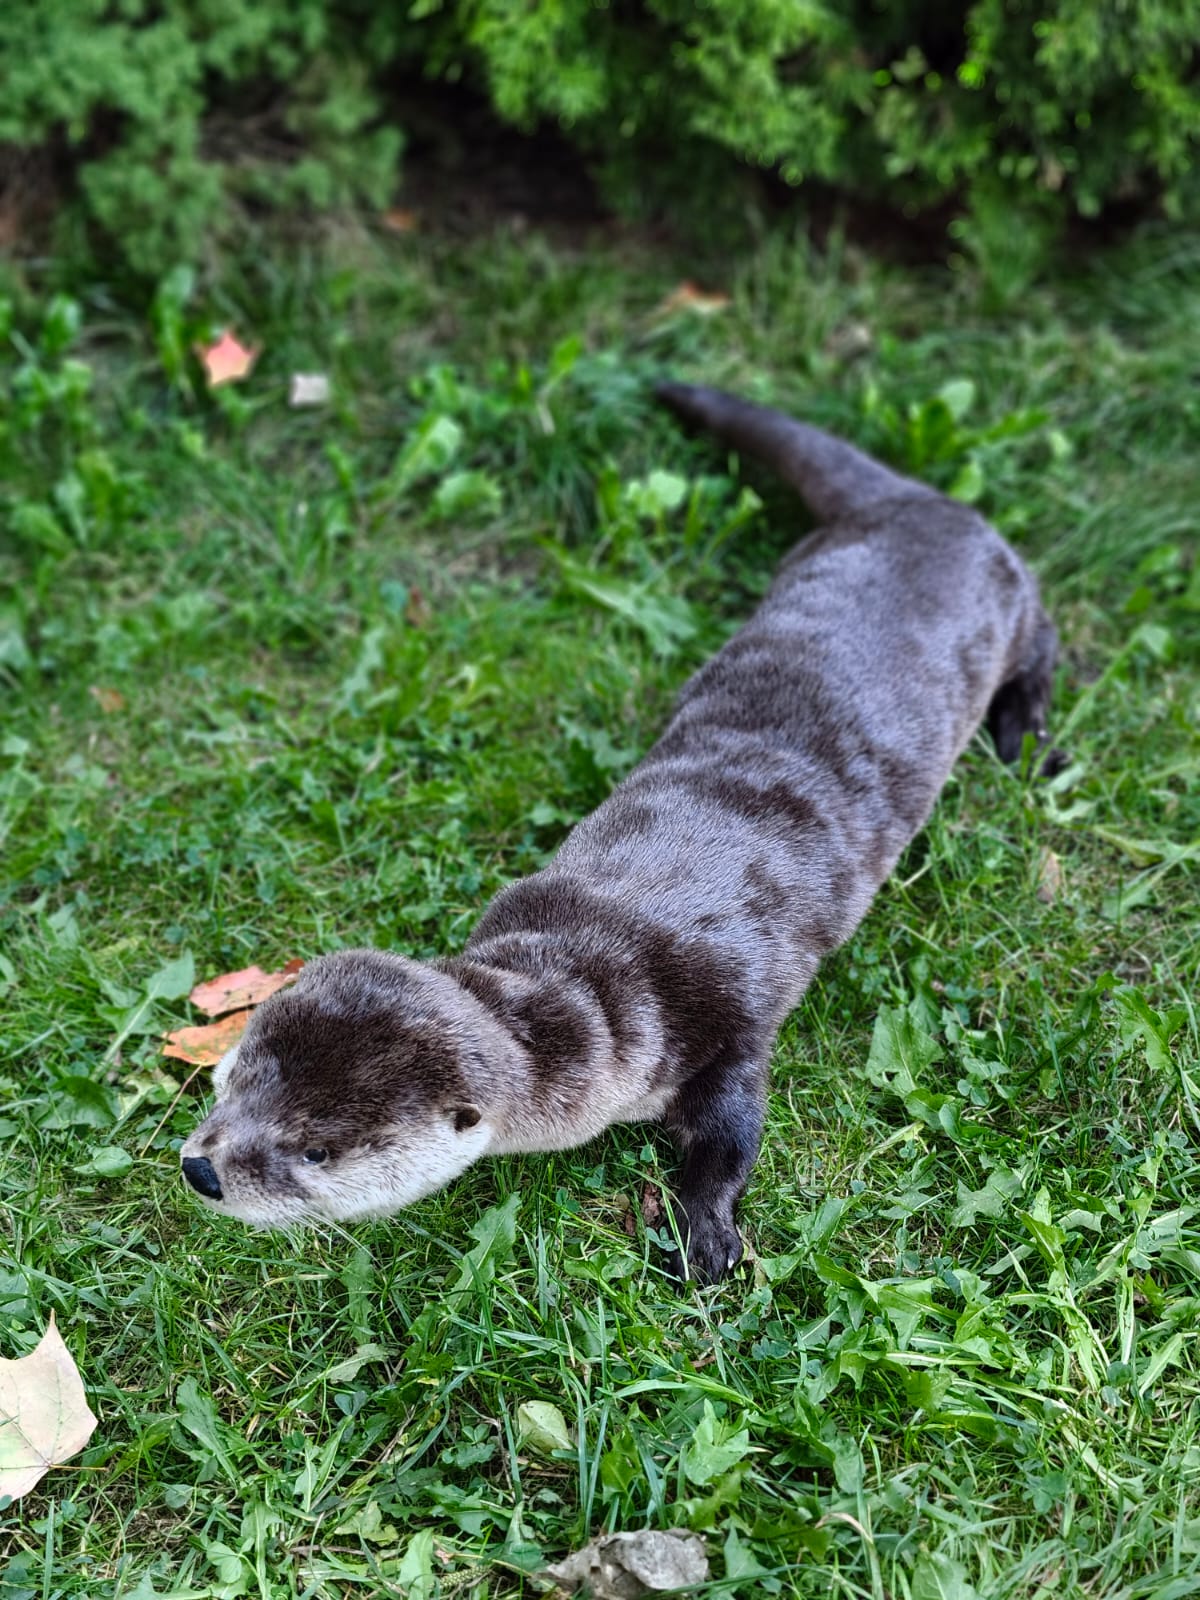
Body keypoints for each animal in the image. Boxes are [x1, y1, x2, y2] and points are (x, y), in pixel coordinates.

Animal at [179, 384, 1058, 1282]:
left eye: (316, 1151)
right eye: (240, 1072)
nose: (202, 1168)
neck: (605, 963)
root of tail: (922, 504)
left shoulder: (735, 1019)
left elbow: (734, 1133)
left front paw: (704, 1232)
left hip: (1017, 600)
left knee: (1046, 652)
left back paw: (1025, 736)